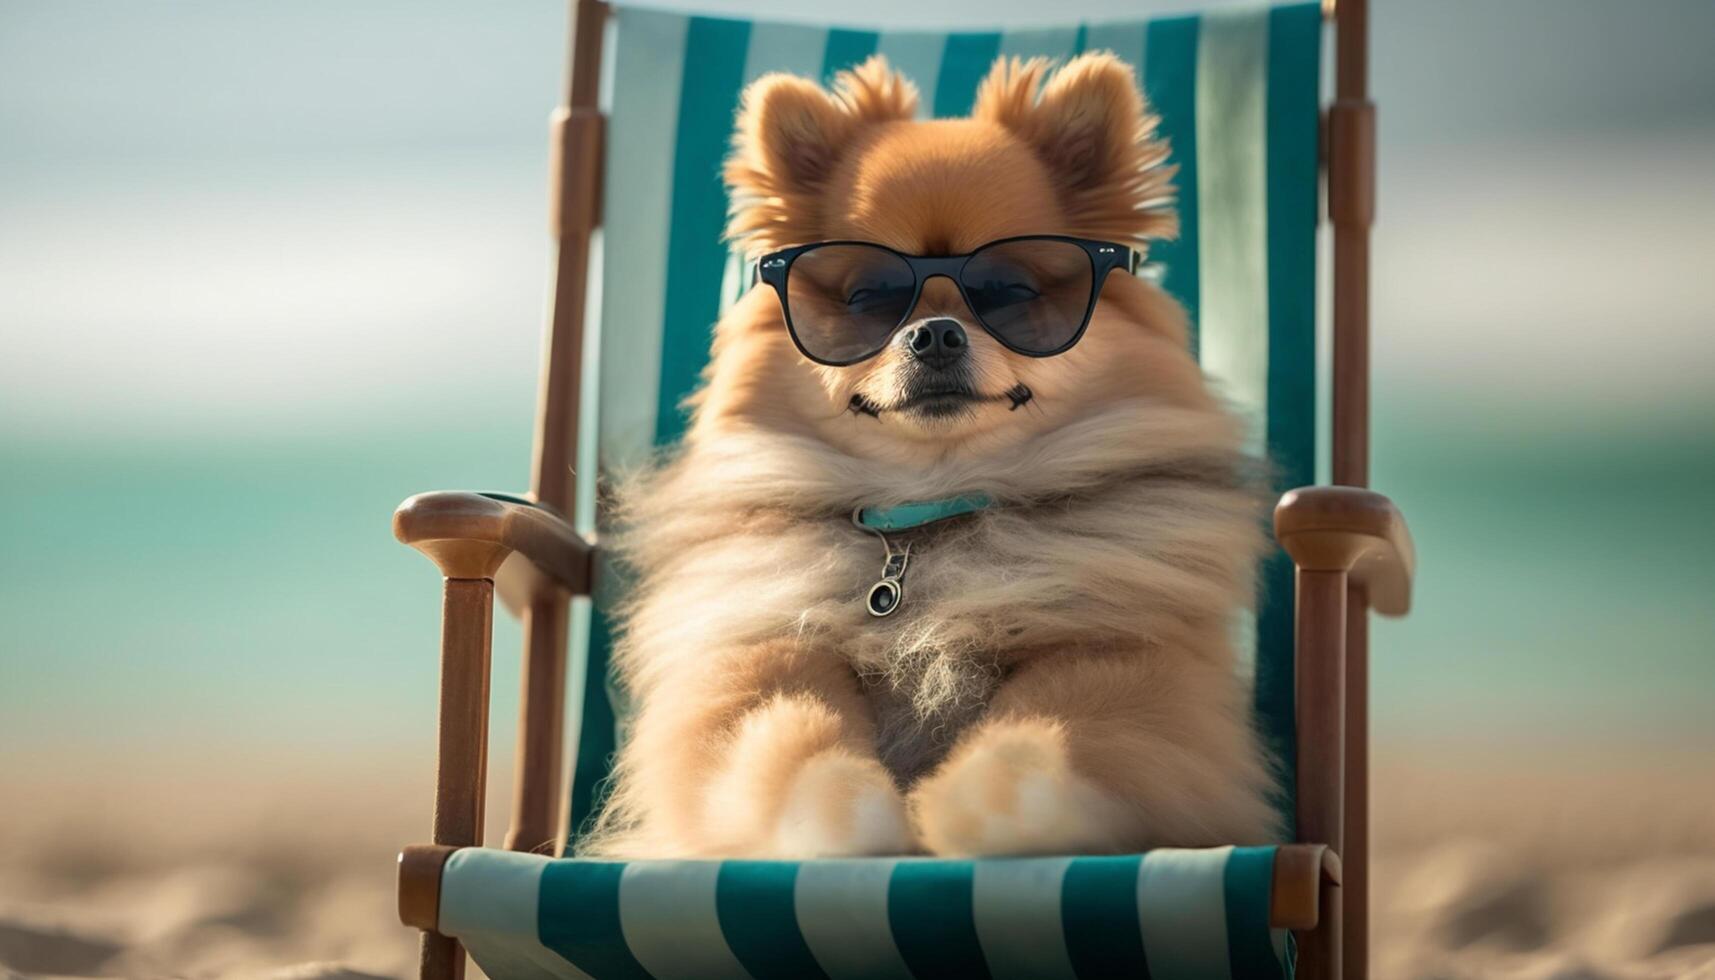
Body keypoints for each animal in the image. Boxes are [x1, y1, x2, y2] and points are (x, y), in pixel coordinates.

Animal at [586, 51, 1275, 858]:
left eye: (1008, 291)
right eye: (868, 298)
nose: (937, 333)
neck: (928, 518)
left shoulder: (1120, 659)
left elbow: (1048, 734)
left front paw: (973, 809)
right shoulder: (761, 656)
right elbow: (790, 738)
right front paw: (849, 816)